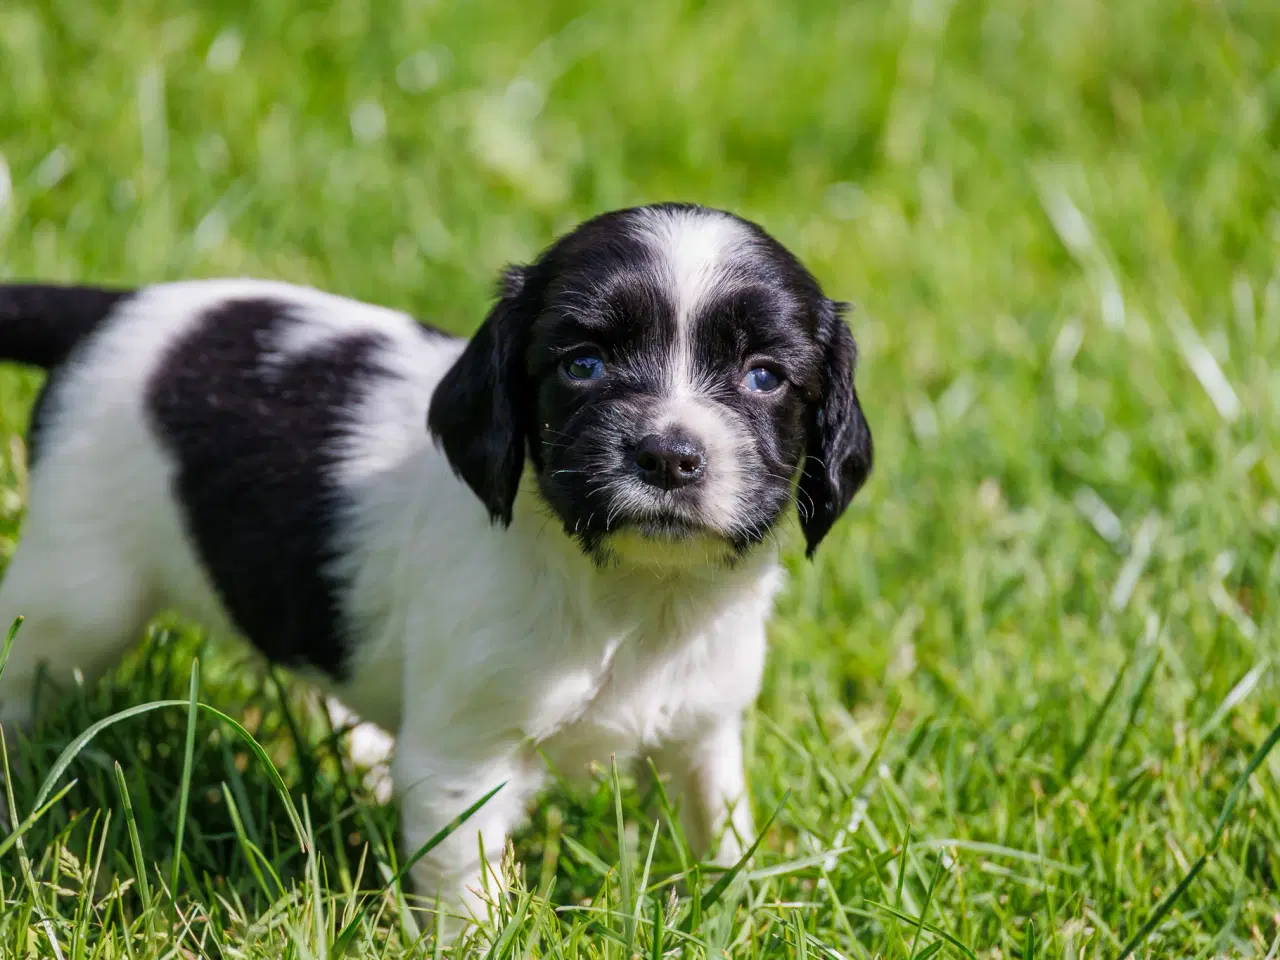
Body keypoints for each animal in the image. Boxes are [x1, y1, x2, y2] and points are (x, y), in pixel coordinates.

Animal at [0, 200, 870, 916]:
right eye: (582, 365)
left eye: (764, 377)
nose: (668, 456)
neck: (633, 594)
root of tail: (116, 309)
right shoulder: (463, 759)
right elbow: (468, 888)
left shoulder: (703, 723)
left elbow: (719, 825)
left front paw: (741, 911)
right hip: (78, 592)